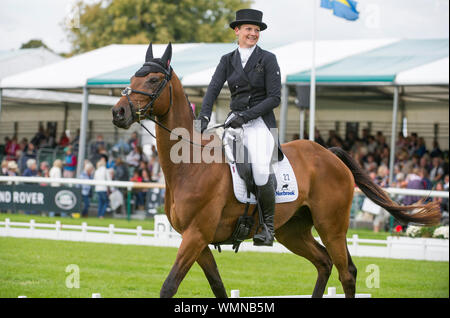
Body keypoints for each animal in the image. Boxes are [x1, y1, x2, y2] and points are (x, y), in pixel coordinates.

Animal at [110, 43, 442, 300]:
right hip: (292, 230)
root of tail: (328, 154)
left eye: (154, 80)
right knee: (323, 263)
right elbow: (218, 287)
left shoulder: (196, 235)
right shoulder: (198, 241)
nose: (118, 113)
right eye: (133, 77)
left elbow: (169, 286)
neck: (191, 165)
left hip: (332, 226)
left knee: (346, 271)